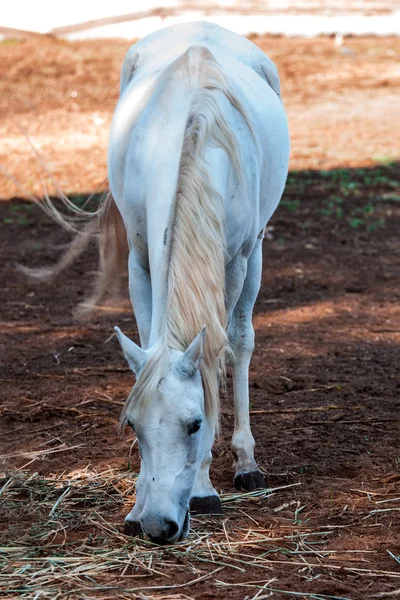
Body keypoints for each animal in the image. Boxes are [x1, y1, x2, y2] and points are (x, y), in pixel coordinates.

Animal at [27, 19, 288, 544]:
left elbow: (218, 355)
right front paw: (135, 505)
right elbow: (149, 341)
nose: (157, 525)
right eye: (133, 426)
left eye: (195, 424)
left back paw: (246, 462)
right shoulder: (141, 261)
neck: (192, 135)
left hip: (255, 255)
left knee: (242, 341)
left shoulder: (233, 264)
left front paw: (206, 487)